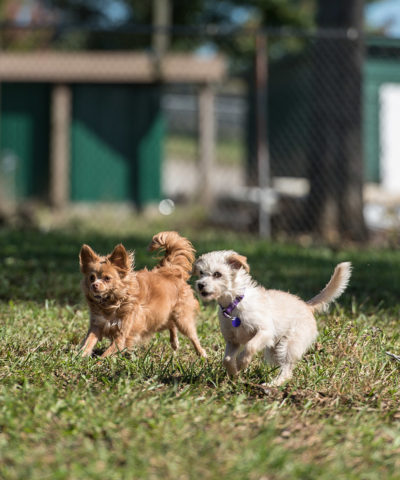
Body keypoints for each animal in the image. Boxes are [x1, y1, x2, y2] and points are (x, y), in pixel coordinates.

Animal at [78, 231, 206, 358]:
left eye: (107, 278)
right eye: (91, 278)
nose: (94, 285)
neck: (111, 303)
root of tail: (170, 270)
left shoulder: (121, 336)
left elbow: (106, 355)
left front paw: (98, 361)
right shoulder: (97, 326)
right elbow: (88, 342)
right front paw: (79, 357)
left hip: (182, 319)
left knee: (192, 336)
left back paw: (201, 353)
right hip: (159, 318)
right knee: (171, 324)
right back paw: (174, 342)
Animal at [194, 251, 350, 386]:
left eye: (217, 274)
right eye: (201, 273)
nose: (200, 285)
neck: (235, 304)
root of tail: (307, 305)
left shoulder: (265, 331)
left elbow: (250, 346)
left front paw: (241, 363)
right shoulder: (233, 341)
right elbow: (226, 359)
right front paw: (234, 374)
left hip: (288, 346)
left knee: (287, 371)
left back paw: (272, 384)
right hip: (274, 351)